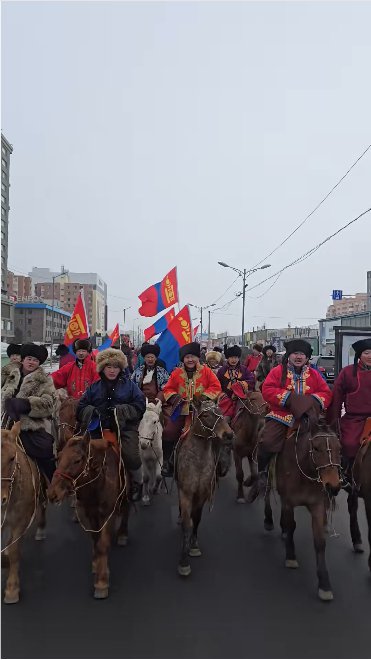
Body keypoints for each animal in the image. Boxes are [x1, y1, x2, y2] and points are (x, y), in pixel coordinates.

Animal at [48, 430, 130, 600]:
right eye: (58, 457)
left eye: (77, 460)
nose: (53, 493)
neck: (97, 485)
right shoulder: (89, 514)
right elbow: (95, 540)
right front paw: (96, 564)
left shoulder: (107, 514)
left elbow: (102, 544)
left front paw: (101, 582)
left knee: (126, 509)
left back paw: (122, 534)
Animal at [177, 398, 234, 576]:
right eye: (206, 415)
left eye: (221, 412)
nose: (229, 434)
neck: (198, 462)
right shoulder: (186, 493)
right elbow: (187, 524)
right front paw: (183, 562)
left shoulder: (202, 495)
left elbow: (197, 519)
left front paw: (194, 546)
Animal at [266, 422, 342, 604]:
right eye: (316, 448)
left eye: (340, 449)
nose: (333, 486)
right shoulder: (289, 502)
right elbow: (291, 525)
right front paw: (291, 556)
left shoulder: (317, 506)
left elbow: (320, 543)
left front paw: (324, 584)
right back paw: (268, 519)